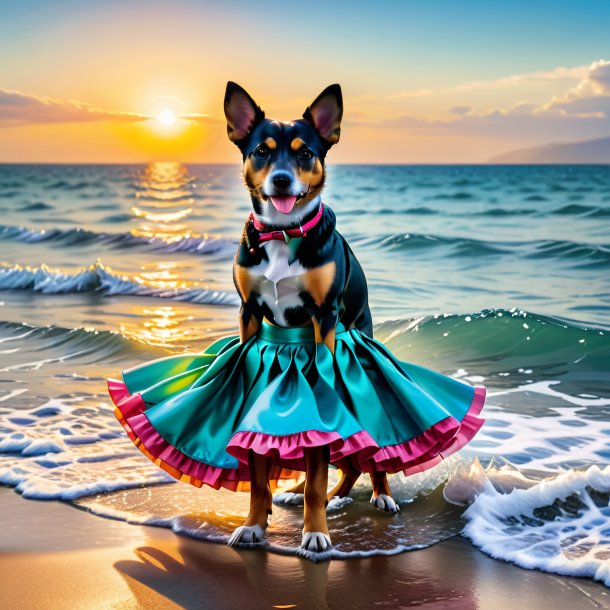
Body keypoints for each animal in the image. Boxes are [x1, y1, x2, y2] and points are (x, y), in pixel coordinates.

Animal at [223, 81, 400, 552]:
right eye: (261, 151)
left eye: (305, 154)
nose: (282, 179)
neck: (283, 234)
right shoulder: (249, 313)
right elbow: (260, 477)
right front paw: (254, 524)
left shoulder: (325, 315)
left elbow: (319, 468)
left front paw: (315, 533)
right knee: (345, 465)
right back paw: (317, 493)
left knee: (368, 457)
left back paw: (379, 495)